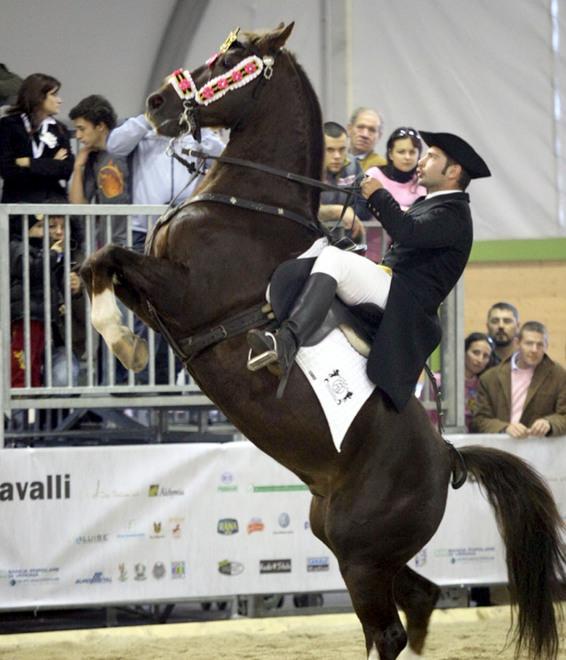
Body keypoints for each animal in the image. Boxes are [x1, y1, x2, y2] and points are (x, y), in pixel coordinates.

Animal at [80, 23, 565, 660]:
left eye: (231, 60)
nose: (157, 103)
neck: (247, 204)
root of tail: (450, 456)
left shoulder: (186, 294)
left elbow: (106, 256)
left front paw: (121, 343)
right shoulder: (162, 304)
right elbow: (99, 263)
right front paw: (128, 346)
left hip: (361, 554)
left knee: (387, 630)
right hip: (348, 542)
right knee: (420, 598)